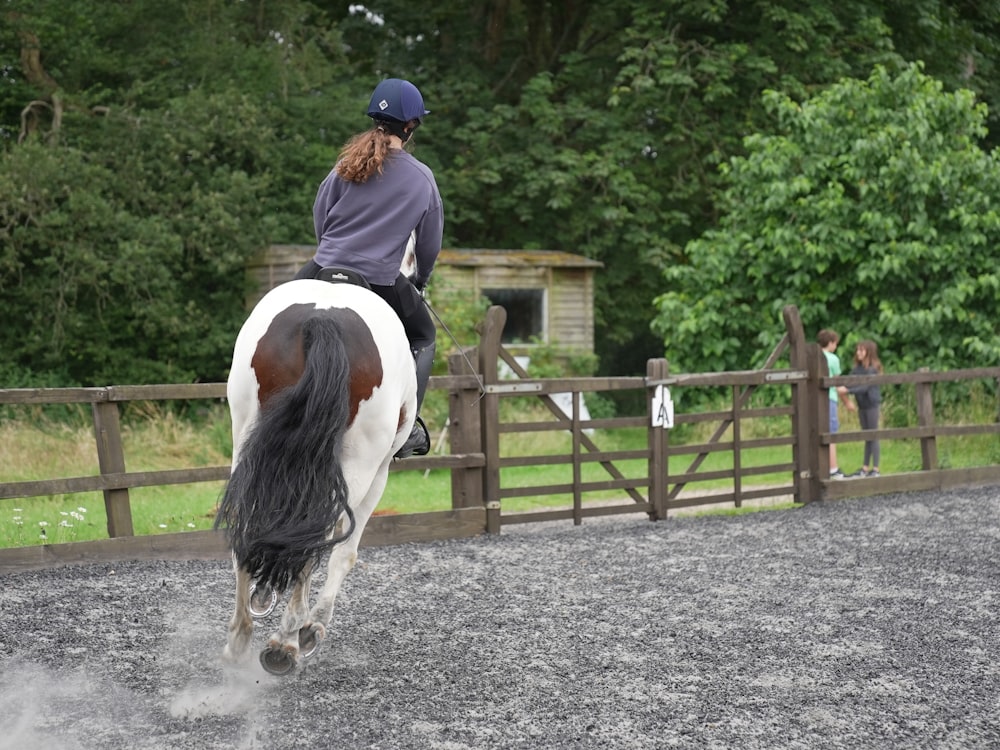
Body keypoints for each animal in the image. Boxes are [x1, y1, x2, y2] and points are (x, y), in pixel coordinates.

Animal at [217, 280, 416, 680]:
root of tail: (322, 318)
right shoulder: (379, 474)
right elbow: (345, 553)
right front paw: (312, 628)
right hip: (361, 463)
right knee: (317, 539)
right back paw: (286, 642)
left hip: (248, 439)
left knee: (246, 526)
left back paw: (240, 638)